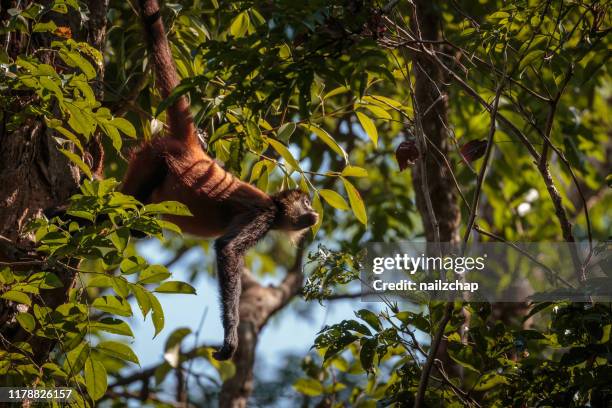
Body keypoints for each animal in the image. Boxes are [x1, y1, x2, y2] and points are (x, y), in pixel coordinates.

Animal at [127, 0, 320, 360]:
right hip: (154, 158)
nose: (314, 212)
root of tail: (190, 150)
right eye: (305, 201)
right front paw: (230, 336)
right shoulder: (262, 213)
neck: (275, 205)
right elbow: (227, 250)